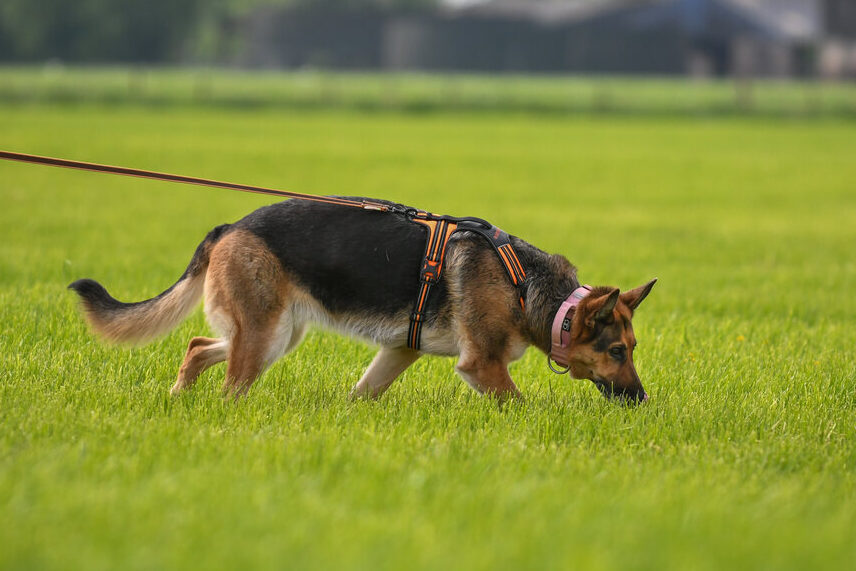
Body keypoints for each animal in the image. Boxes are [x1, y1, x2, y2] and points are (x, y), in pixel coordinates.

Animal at [68, 199, 656, 404]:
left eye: (632, 349)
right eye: (617, 352)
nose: (642, 400)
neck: (531, 290)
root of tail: (230, 226)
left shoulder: (398, 351)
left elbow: (362, 394)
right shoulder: (483, 365)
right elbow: (522, 405)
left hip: (276, 335)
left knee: (195, 345)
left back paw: (177, 400)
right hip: (263, 337)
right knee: (230, 386)